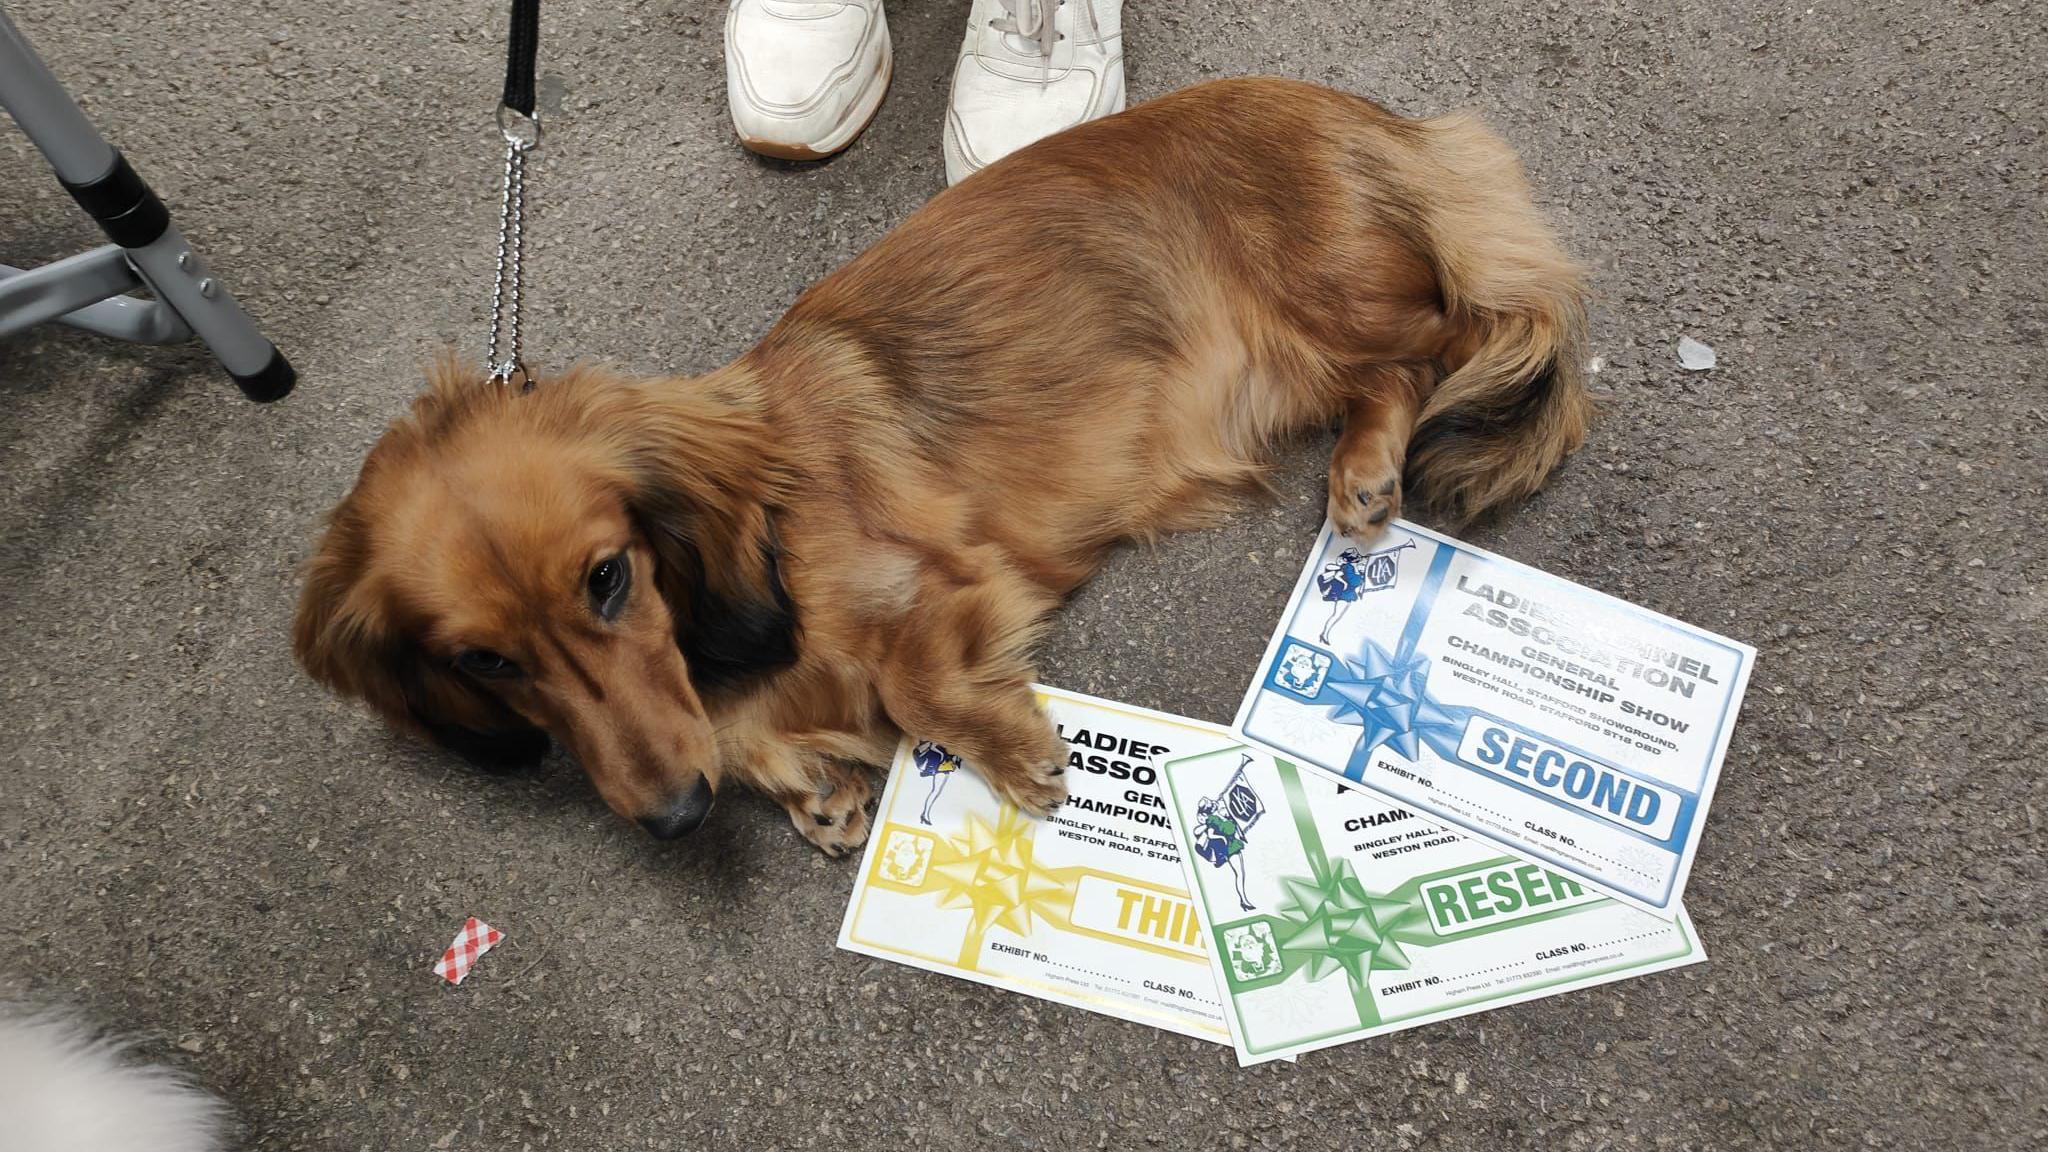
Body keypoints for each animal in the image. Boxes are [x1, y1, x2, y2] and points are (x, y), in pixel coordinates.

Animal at [296, 78, 1589, 852]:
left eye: (609, 578)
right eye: (483, 661)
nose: (672, 820)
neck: (762, 556)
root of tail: (1372, 121)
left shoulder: (943, 582)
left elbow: (914, 688)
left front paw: (1012, 751)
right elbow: (764, 741)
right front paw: (809, 789)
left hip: (1335, 311)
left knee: (1452, 343)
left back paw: (1369, 466)